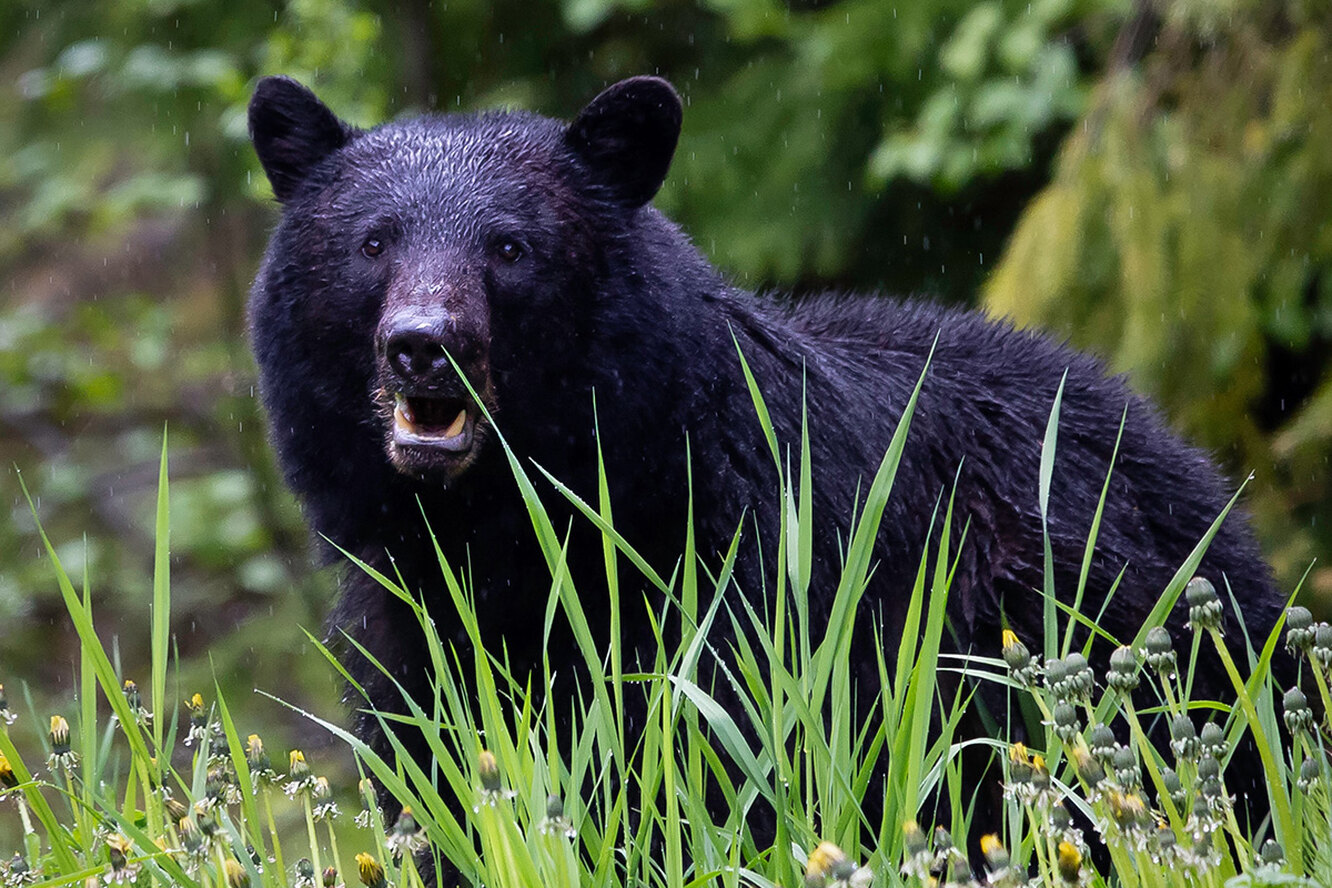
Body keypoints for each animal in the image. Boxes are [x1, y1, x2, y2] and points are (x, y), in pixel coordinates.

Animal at [245, 71, 1284, 836]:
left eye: (510, 247)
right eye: (373, 242)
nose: (424, 343)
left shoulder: (750, 585)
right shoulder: (406, 629)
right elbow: (439, 783)